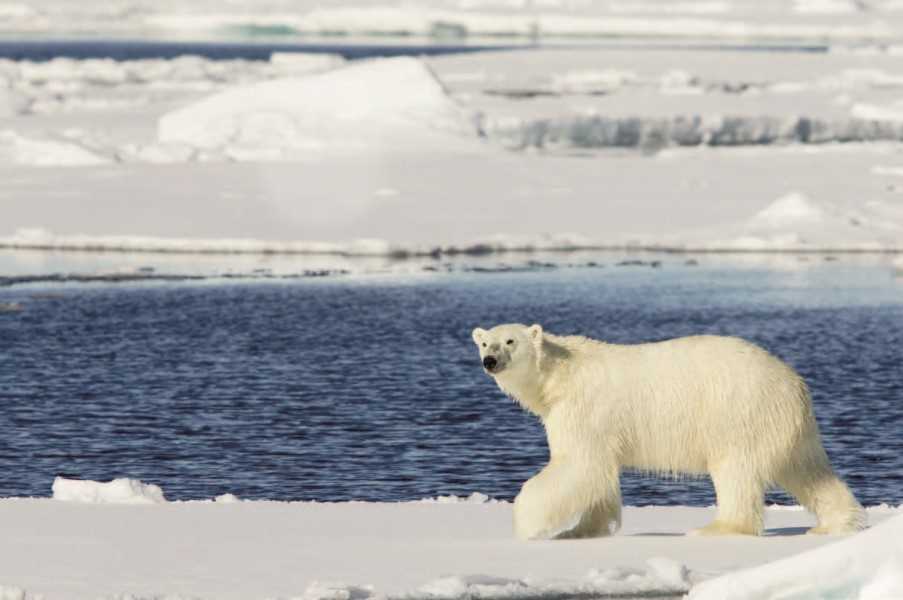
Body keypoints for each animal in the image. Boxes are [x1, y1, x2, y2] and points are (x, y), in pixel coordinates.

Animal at [470, 324, 864, 540]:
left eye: (510, 341)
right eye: (485, 342)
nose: (490, 361)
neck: (559, 376)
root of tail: (793, 382)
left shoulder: (584, 410)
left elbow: (578, 465)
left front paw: (527, 523)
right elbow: (598, 475)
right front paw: (581, 529)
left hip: (737, 413)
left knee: (735, 473)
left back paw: (717, 528)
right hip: (786, 427)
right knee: (809, 471)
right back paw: (836, 523)